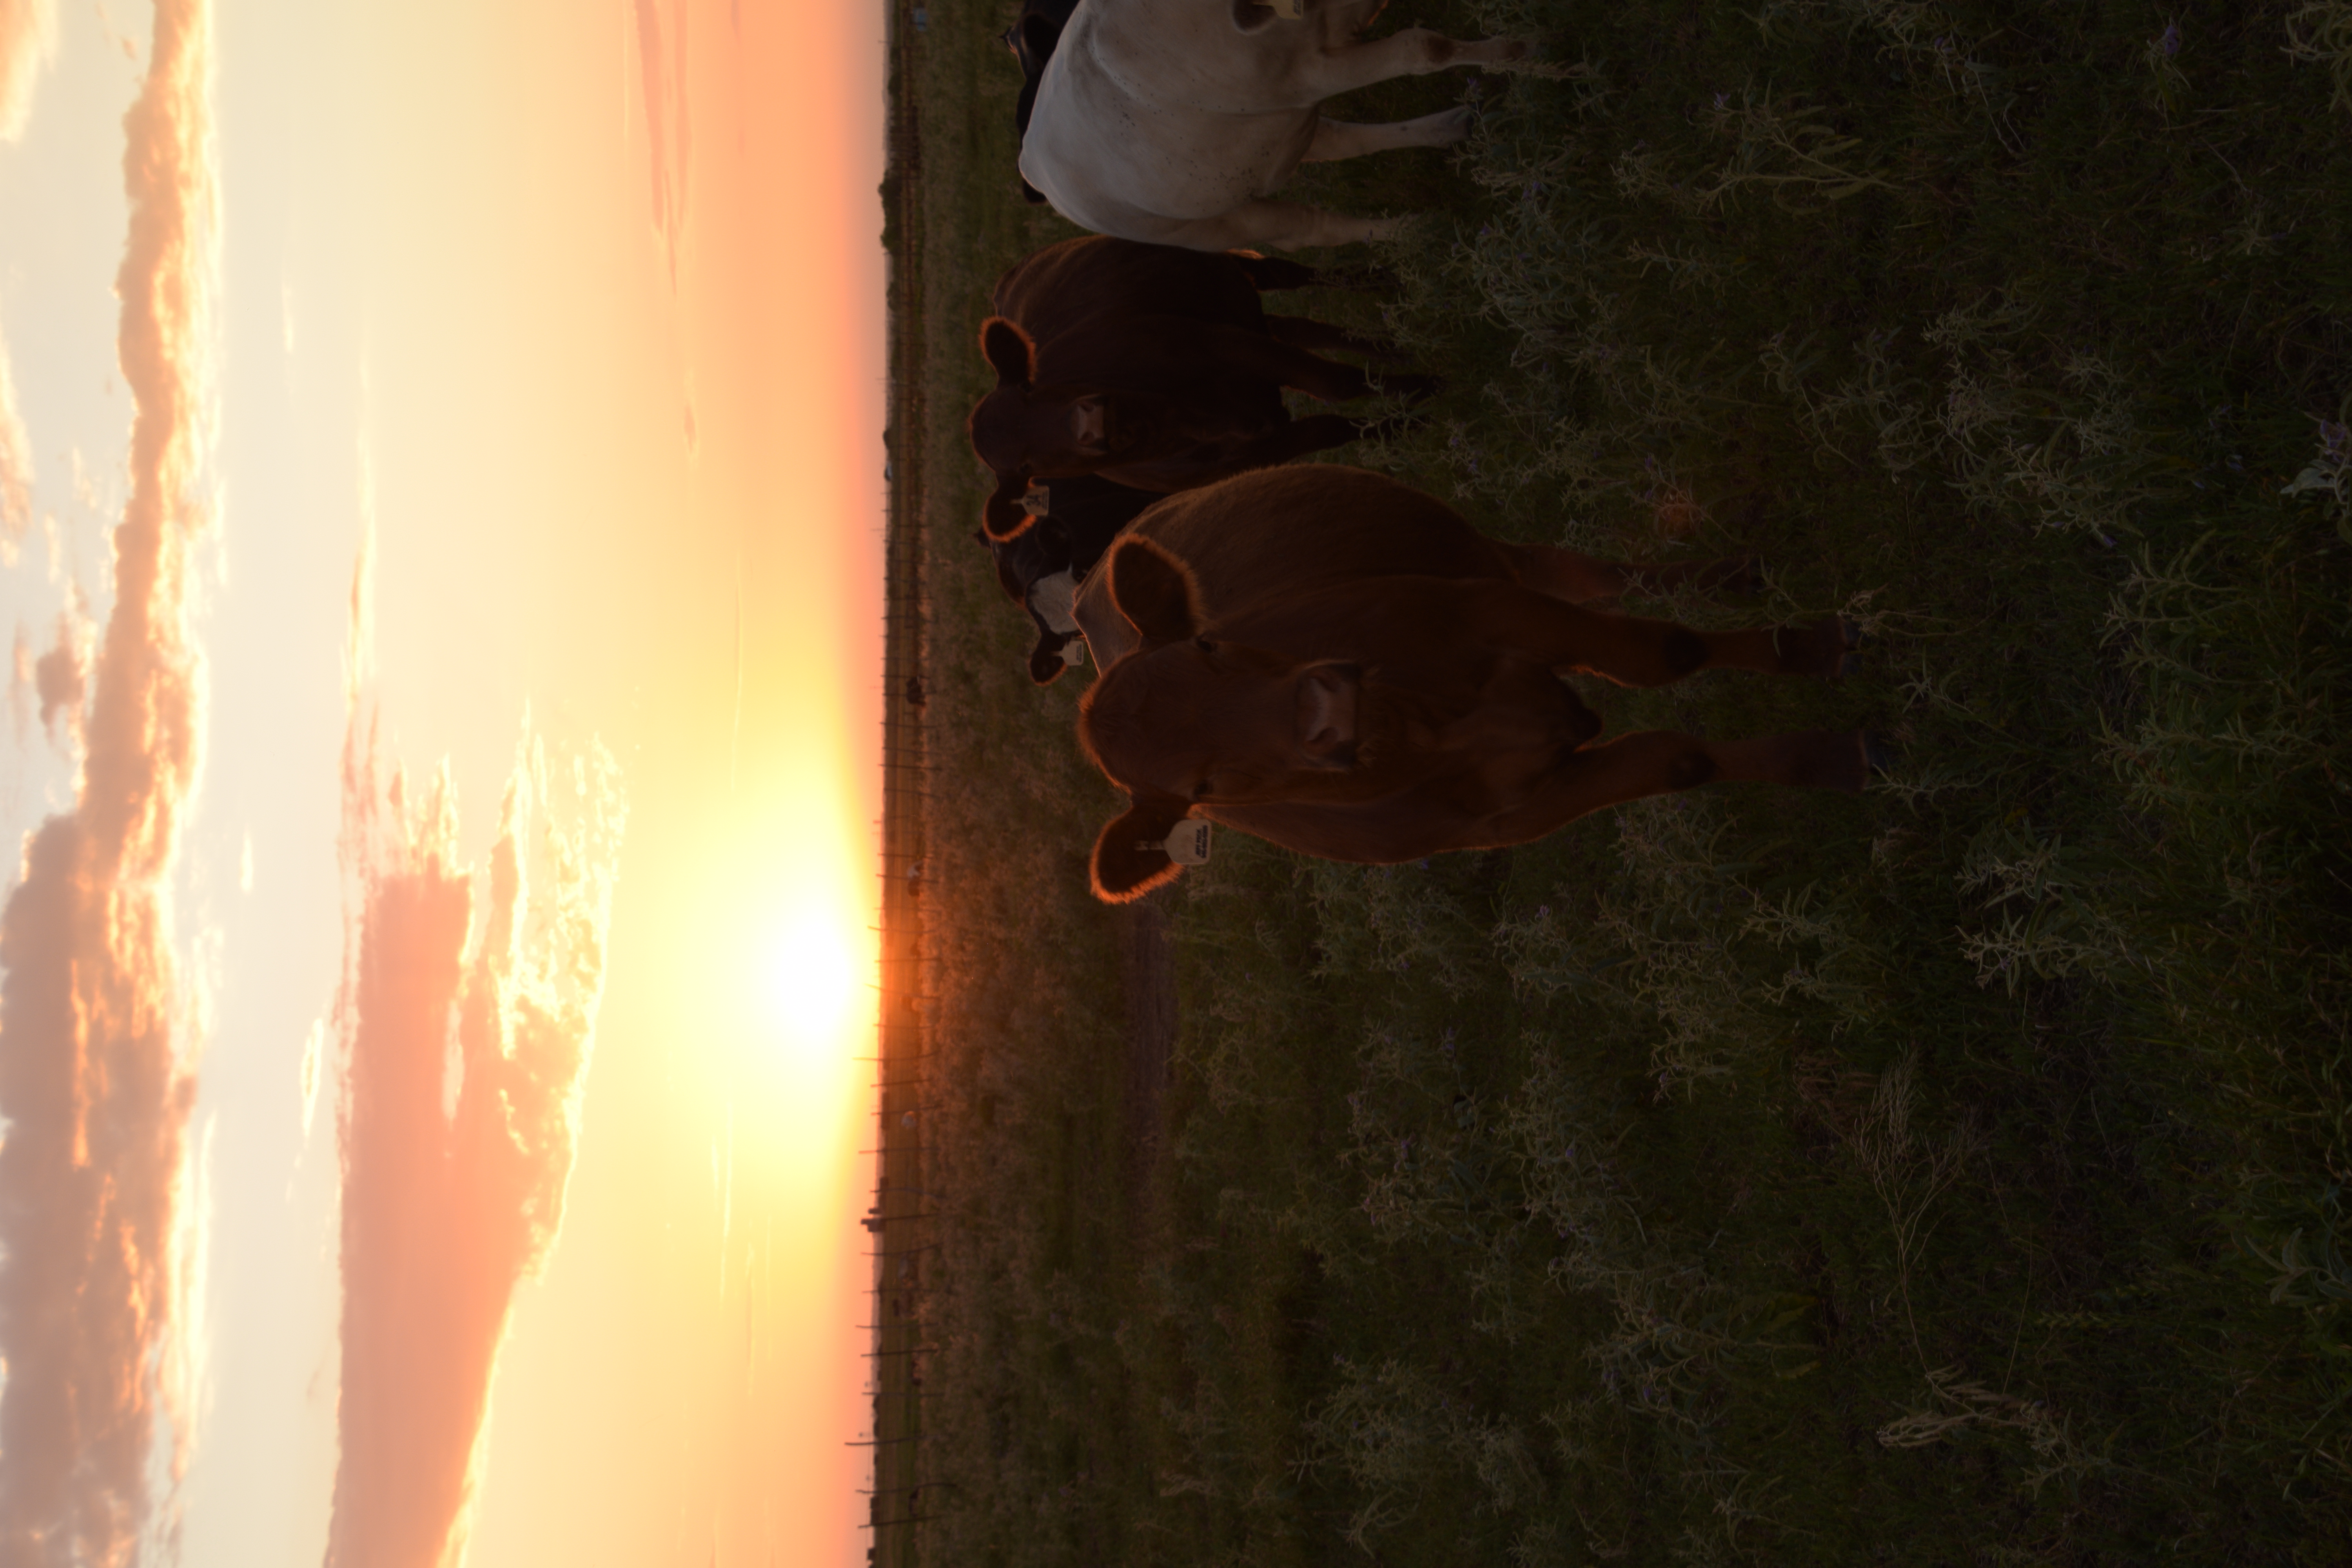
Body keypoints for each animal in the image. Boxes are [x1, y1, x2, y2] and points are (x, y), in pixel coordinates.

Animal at [970, 235, 1429, 539]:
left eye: (1030, 386)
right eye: (1026, 468)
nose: (1092, 423)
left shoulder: (1227, 344)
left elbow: (1335, 382)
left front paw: (1422, 388)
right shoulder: (1273, 447)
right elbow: (1336, 425)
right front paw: (1403, 423)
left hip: (1216, 267)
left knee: (1290, 275)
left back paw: (1381, 286)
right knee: (1300, 328)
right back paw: (1388, 347)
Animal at [1019, 0, 1537, 252]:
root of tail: (1030, 163)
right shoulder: (1310, 75)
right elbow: (1423, 49)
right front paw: (1522, 54)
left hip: (1269, 139)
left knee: (1343, 139)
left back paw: (1457, 126)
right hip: (1210, 225)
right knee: (1310, 228)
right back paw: (1420, 231)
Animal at [1069, 467, 1880, 902]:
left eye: (1209, 644)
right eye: (1204, 787)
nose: (1325, 711)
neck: (1431, 725)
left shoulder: (1495, 609)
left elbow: (1670, 654)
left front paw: (1809, 654)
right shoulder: (1517, 812)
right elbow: (1687, 761)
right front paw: (1829, 756)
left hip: (1491, 557)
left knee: (1595, 574)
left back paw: (1733, 577)